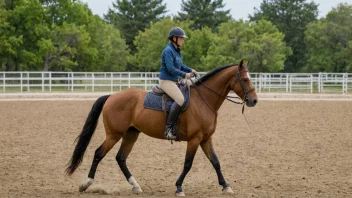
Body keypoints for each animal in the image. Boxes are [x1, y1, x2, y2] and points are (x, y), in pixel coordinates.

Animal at [66, 59, 258, 196]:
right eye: (245, 79)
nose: (254, 100)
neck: (204, 100)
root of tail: (112, 96)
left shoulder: (206, 139)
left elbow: (216, 162)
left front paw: (226, 186)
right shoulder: (194, 140)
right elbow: (188, 164)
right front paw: (179, 187)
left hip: (131, 134)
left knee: (121, 158)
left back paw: (135, 185)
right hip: (114, 134)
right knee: (98, 153)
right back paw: (86, 184)